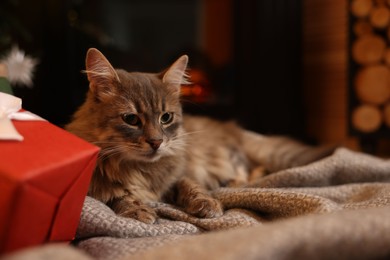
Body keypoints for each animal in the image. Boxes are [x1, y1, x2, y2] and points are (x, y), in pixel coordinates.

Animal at [65, 48, 334, 223]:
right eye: (131, 119)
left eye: (166, 118)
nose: (156, 142)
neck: (141, 169)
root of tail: (234, 130)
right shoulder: (95, 186)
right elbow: (118, 196)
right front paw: (138, 210)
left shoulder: (182, 173)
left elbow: (191, 186)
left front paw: (208, 204)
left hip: (234, 156)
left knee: (250, 170)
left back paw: (236, 182)